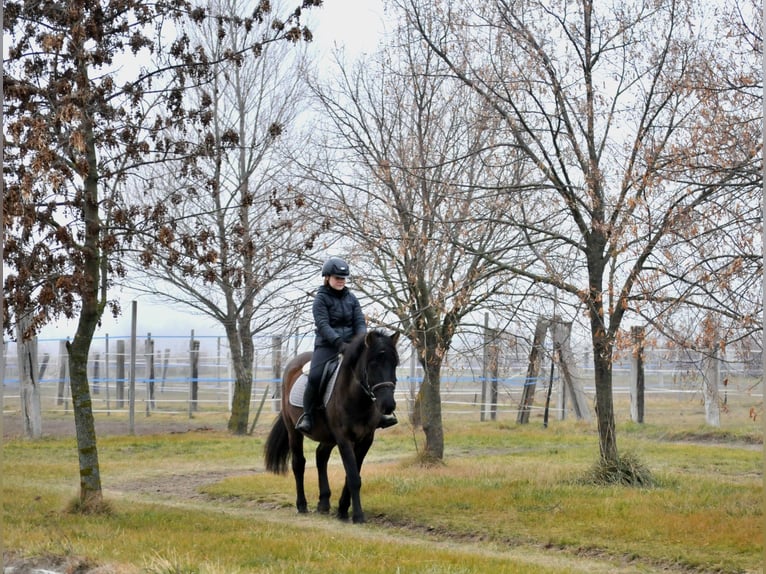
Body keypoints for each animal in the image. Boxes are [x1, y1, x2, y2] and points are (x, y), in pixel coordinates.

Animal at [262, 330, 400, 524]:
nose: (388, 405)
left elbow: (352, 474)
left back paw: (324, 503)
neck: (357, 399)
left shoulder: (365, 440)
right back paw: (302, 505)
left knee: (321, 457)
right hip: (293, 431)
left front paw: (342, 509)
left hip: (328, 436)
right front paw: (358, 516)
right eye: (373, 364)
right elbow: (353, 477)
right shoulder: (344, 439)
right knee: (299, 463)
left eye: (395, 363)